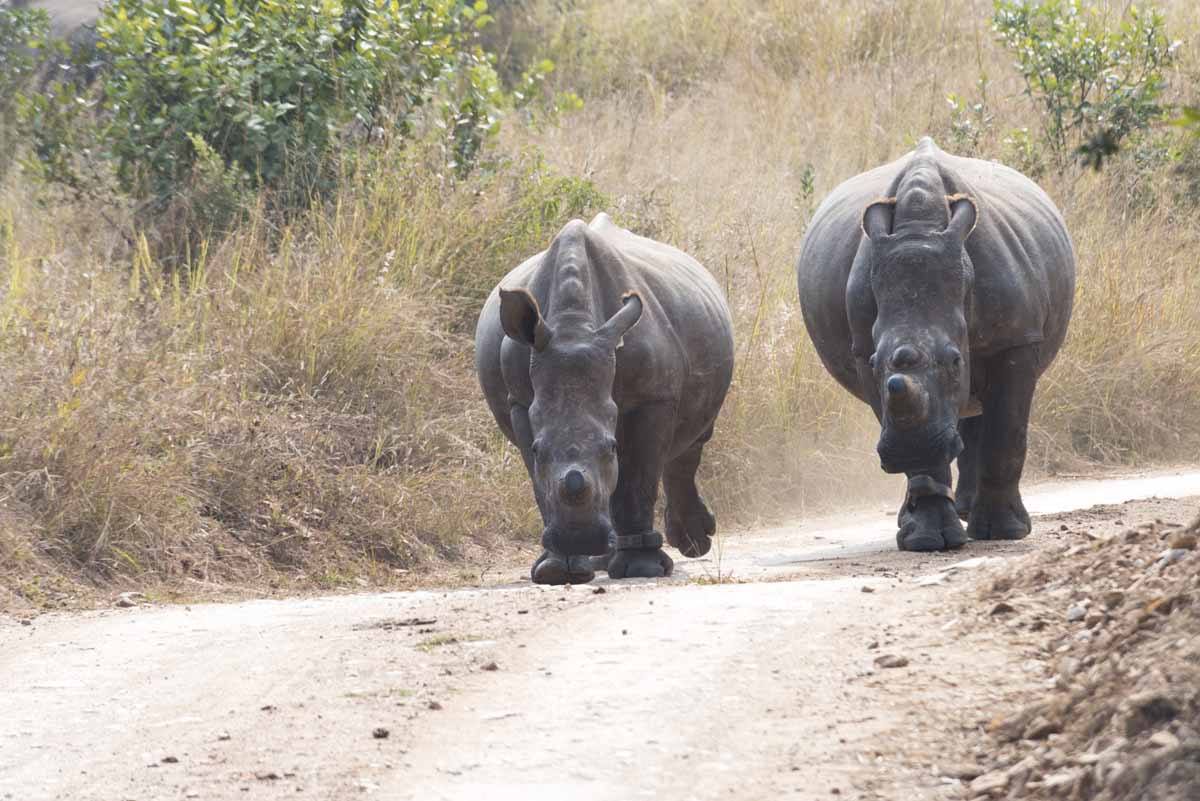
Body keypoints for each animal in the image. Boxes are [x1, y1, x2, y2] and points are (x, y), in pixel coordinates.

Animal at [475, 215, 734, 585]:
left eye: (610, 448)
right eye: (538, 450)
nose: (577, 538)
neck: (573, 326)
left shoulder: (652, 397)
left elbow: (638, 477)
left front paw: (642, 569)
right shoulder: (520, 401)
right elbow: (540, 481)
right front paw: (557, 570)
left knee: (692, 440)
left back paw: (693, 543)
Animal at [801, 136, 1075, 551]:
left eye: (955, 361)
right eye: (877, 363)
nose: (908, 450)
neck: (921, 228)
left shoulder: (1016, 338)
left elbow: (1006, 432)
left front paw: (1006, 533)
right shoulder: (863, 349)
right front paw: (928, 540)